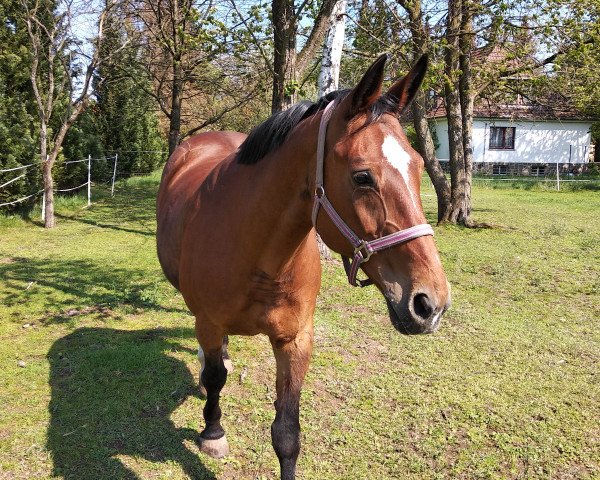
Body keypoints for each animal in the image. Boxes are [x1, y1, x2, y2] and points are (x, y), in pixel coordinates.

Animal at [157, 54, 448, 478]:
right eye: (362, 176)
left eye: (419, 167)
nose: (430, 304)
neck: (260, 257)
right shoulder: (208, 323)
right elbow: (214, 378)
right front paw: (213, 432)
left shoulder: (295, 340)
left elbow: (286, 434)